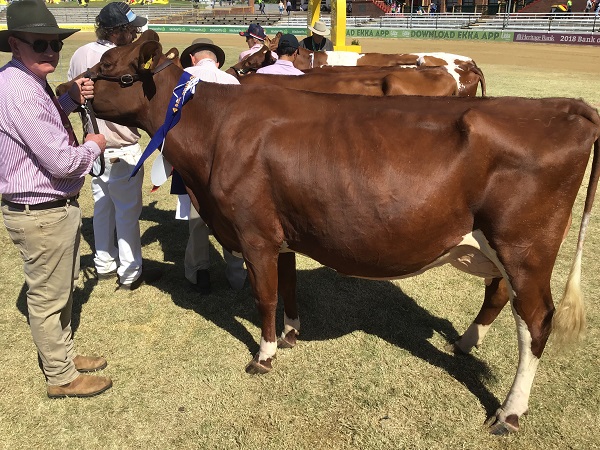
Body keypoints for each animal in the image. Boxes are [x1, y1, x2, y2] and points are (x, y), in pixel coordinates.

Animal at [61, 29, 600, 434]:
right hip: (500, 248)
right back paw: (466, 343)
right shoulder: (282, 231)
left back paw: (509, 412)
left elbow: (264, 295)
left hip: (525, 247)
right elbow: (288, 285)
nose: (70, 89)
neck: (215, 126)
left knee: (536, 321)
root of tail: (565, 107)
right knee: (499, 292)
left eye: (116, 70)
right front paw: (292, 334)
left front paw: (265, 354)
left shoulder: (254, 231)